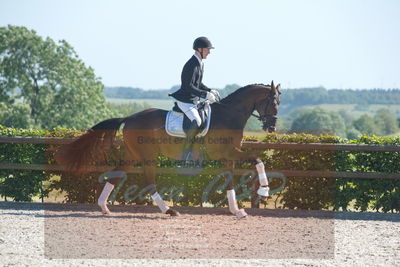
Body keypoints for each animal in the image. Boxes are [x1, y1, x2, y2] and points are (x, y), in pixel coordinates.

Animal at [55, 82, 282, 219]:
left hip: (132, 155)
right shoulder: (228, 152)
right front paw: (264, 190)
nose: (271, 128)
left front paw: (236, 210)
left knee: (117, 174)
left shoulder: (228, 157)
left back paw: (103, 207)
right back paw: (169, 210)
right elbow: (258, 159)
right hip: (148, 156)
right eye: (273, 102)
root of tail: (130, 117)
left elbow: (229, 182)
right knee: (149, 182)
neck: (229, 115)